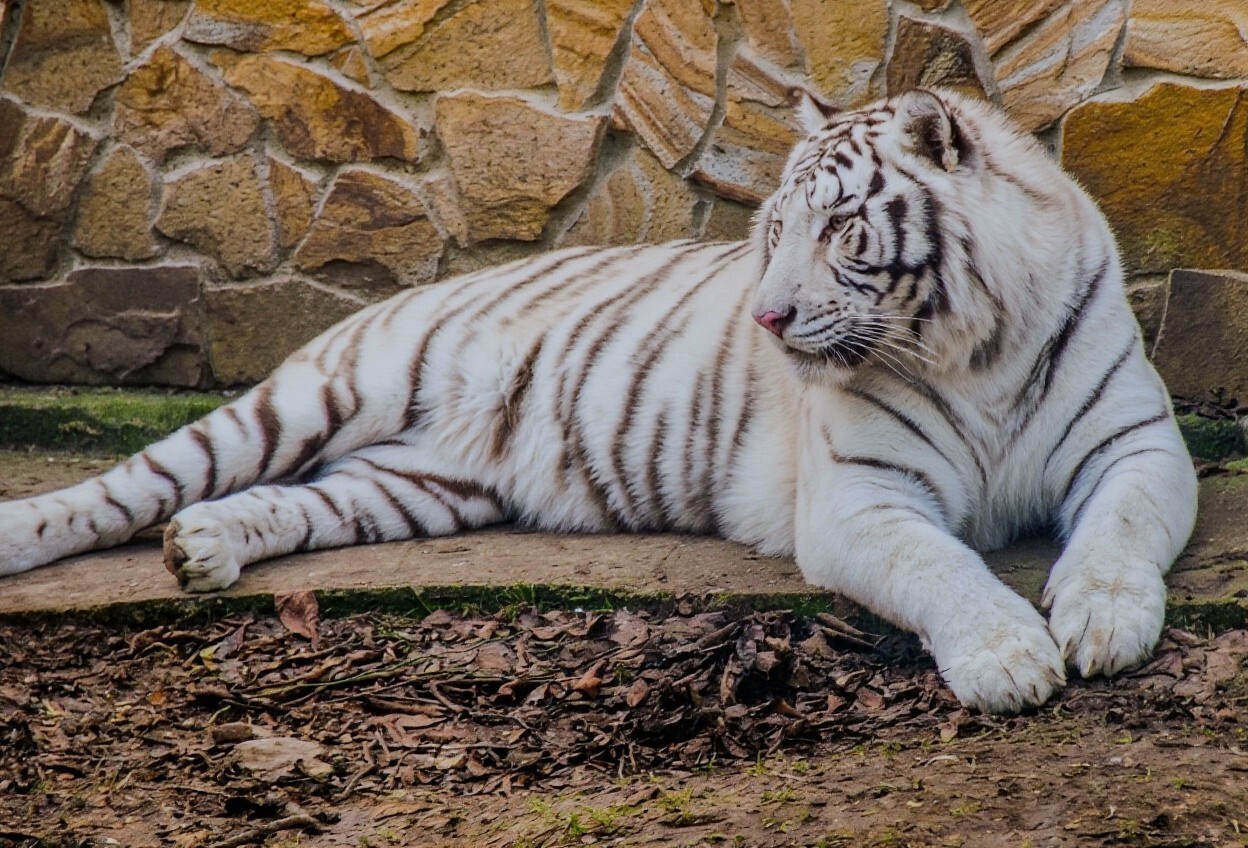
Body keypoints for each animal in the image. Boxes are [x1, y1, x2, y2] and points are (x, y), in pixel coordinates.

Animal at [0, 88, 1198, 714]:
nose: (766, 318)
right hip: (321, 390)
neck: (973, 346)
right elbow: (942, 565)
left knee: (288, 499)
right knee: (133, 481)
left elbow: (1119, 532)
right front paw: (1009, 659)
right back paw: (42, 533)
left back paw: (202, 547)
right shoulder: (863, 497)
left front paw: (1100, 622)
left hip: (409, 489)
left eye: (840, 229)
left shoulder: (1137, 445)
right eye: (775, 230)